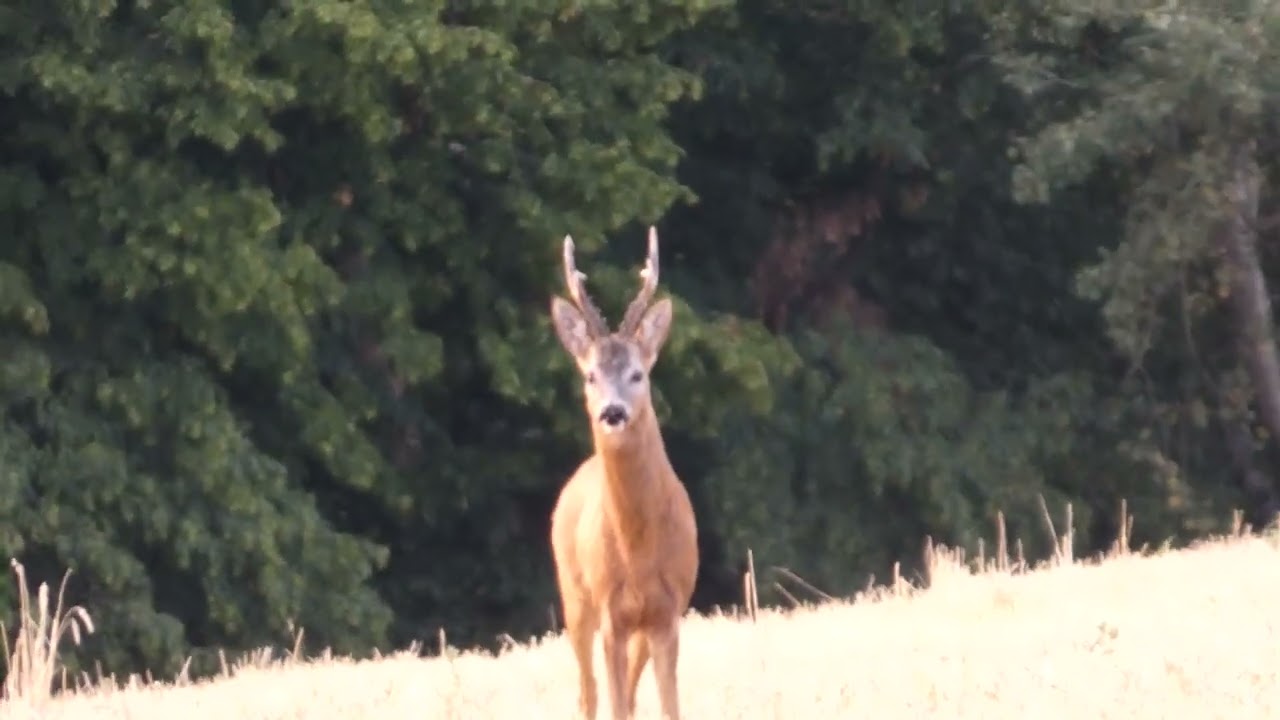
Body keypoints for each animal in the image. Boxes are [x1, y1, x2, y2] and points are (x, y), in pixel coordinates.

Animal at [548, 227, 700, 720]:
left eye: (637, 374)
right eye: (590, 375)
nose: (612, 413)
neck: (639, 552)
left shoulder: (668, 611)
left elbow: (669, 707)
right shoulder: (611, 611)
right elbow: (612, 702)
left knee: (628, 695)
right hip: (574, 594)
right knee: (588, 692)